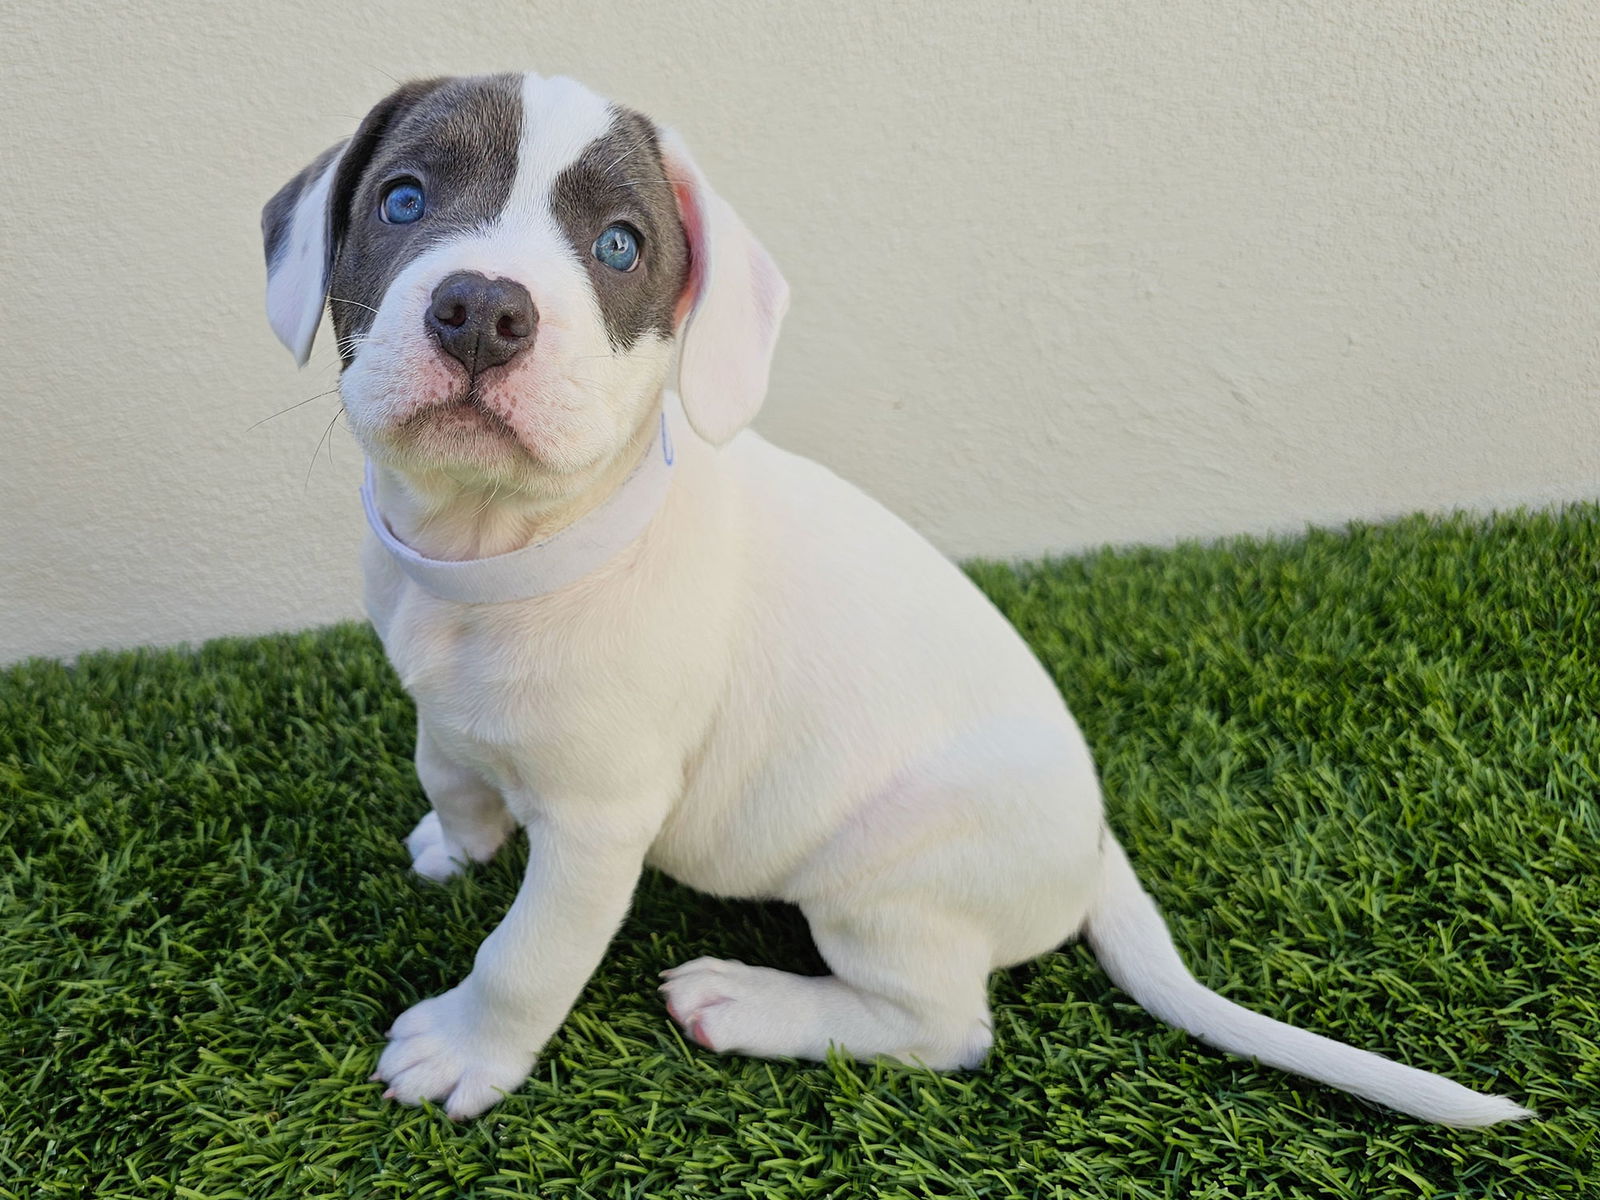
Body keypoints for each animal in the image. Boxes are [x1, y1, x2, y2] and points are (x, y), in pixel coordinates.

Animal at [265, 72, 1536, 1126]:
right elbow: (447, 757)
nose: (482, 309)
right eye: (402, 200)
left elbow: (526, 955)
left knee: (944, 1029)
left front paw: (466, 1049)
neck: (497, 555)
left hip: (883, 887)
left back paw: (753, 1003)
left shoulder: (598, 826)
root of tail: (1093, 846)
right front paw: (459, 835)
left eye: (619, 246)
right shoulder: (441, 696)